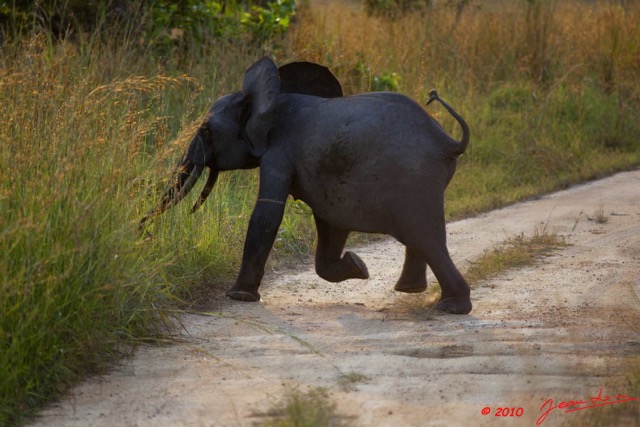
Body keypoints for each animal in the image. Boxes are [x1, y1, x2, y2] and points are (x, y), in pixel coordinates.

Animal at [142, 57, 472, 314]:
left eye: (206, 131)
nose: (143, 232)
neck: (273, 97)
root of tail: (447, 141)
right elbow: (328, 222)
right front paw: (358, 266)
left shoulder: (279, 153)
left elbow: (267, 215)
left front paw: (238, 297)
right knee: (420, 238)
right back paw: (411, 291)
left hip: (414, 181)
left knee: (424, 236)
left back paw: (450, 307)